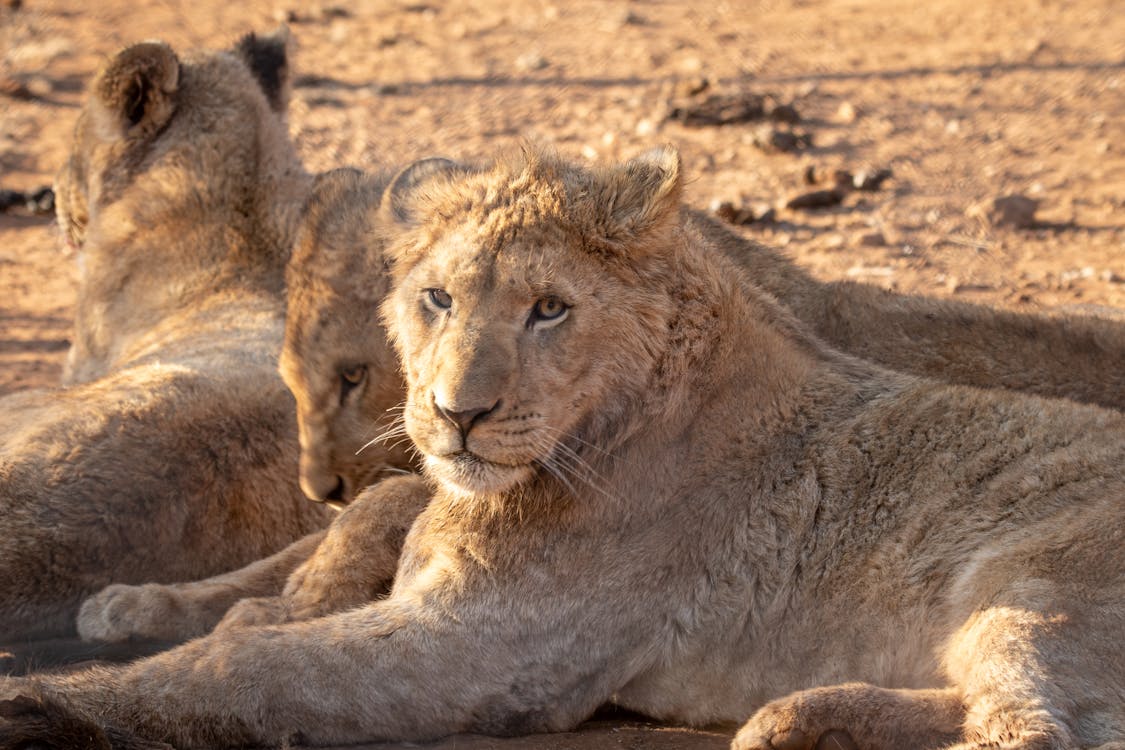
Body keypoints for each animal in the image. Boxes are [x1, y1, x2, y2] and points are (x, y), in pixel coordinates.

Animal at [10, 146, 1125, 750]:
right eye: (437, 298)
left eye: (549, 309)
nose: (455, 414)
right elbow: (291, 588)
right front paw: (164, 609)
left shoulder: (483, 646)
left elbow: (238, 673)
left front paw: (39, 703)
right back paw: (796, 717)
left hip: (1026, 588)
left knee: (1038, 732)